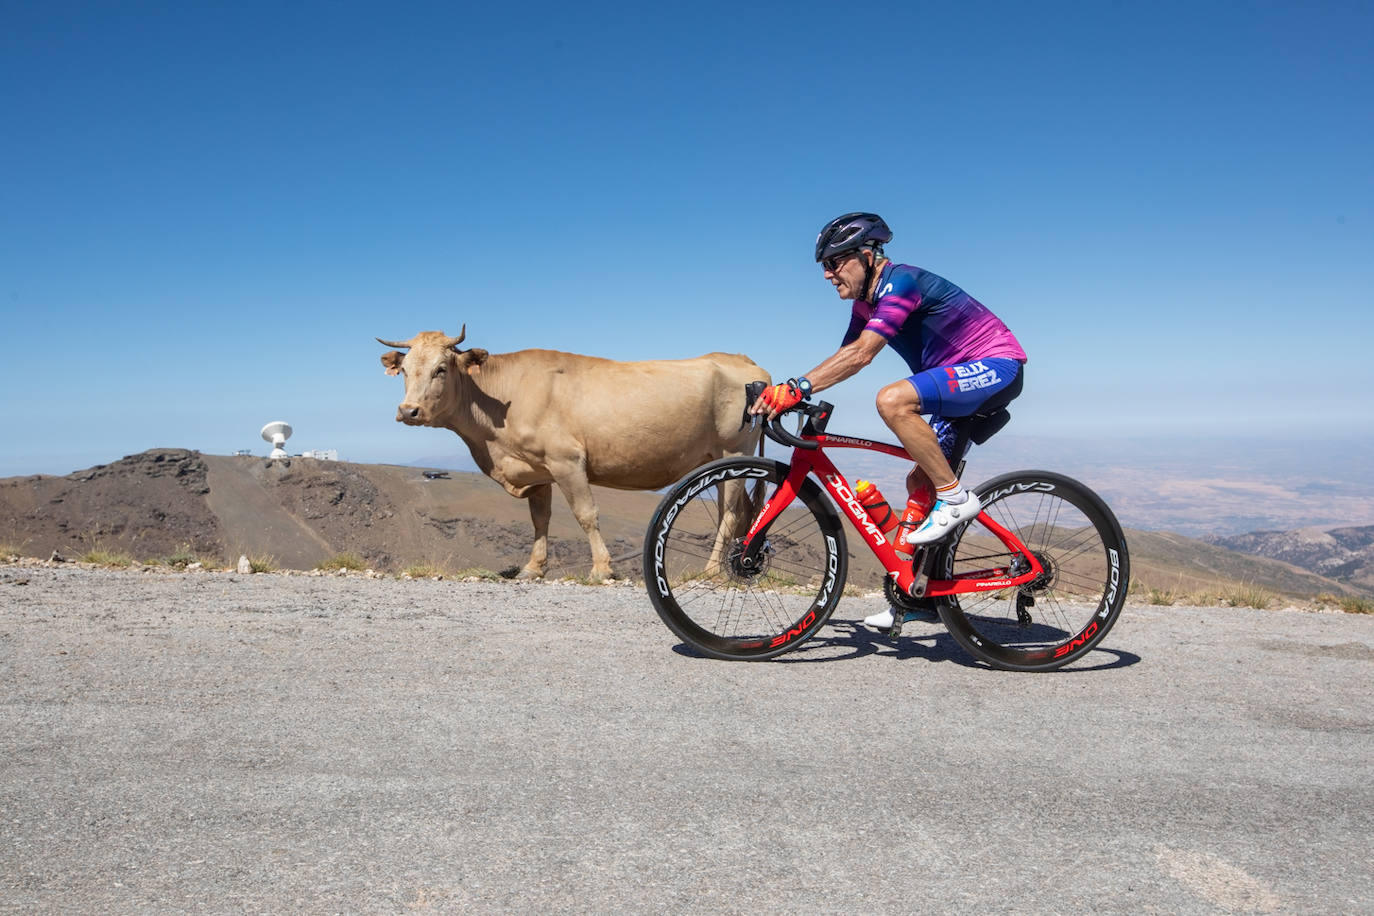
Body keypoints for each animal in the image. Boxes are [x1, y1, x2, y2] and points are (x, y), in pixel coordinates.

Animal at [376, 325, 769, 579]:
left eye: (441, 369)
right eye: (405, 370)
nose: (408, 411)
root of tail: (744, 361)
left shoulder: (567, 460)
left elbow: (586, 514)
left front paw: (602, 568)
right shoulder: (537, 468)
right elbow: (540, 519)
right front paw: (533, 568)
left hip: (732, 448)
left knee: (731, 513)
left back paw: (712, 570)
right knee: (736, 512)